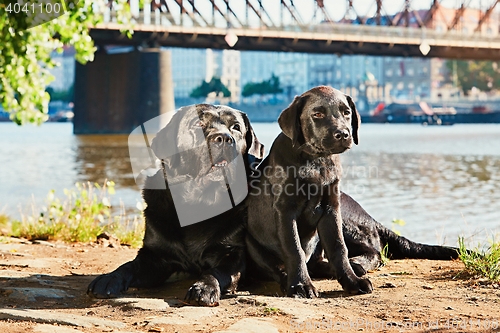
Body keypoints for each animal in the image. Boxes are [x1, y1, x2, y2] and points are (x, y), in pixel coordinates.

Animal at [86, 105, 266, 304]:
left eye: (236, 127)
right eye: (197, 123)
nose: (224, 139)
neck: (199, 202)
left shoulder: (233, 254)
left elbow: (216, 271)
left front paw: (204, 287)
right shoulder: (154, 256)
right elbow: (128, 266)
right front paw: (109, 278)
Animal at [246, 85, 376, 296]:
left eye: (346, 112)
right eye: (317, 114)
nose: (343, 134)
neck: (316, 160)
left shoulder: (331, 208)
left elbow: (338, 247)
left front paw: (352, 280)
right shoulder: (285, 210)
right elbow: (294, 248)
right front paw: (301, 284)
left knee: (316, 262)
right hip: (252, 243)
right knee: (278, 268)